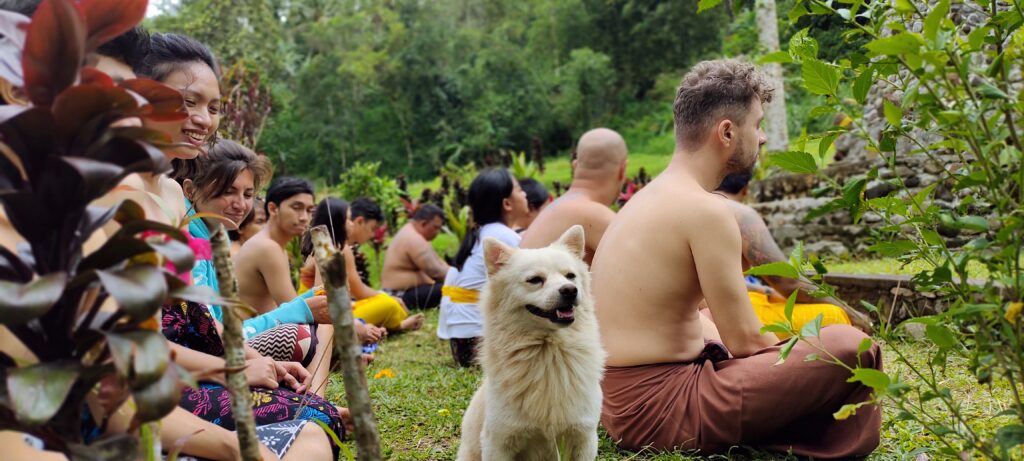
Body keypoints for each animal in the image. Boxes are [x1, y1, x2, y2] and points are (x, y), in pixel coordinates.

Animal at [456, 225, 605, 461]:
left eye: (570, 276)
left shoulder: (584, 437)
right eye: (535, 280)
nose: (570, 290)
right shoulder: (498, 442)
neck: (548, 354)